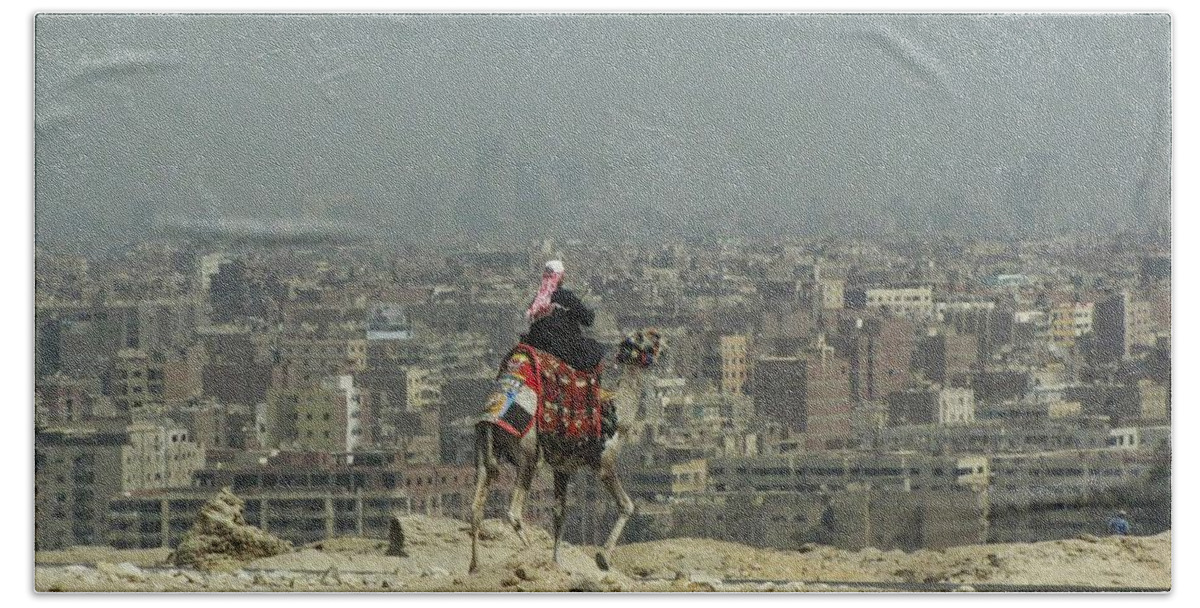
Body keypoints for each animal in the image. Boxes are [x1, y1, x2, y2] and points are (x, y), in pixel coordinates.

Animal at [468, 333, 662, 575]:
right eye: (644, 340)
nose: (661, 347)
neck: (617, 413)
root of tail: (491, 413)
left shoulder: (563, 467)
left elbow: (560, 515)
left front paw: (558, 562)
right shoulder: (605, 461)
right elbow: (627, 505)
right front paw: (602, 559)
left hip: (484, 451)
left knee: (476, 508)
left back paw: (475, 566)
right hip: (528, 454)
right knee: (514, 512)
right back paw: (533, 556)